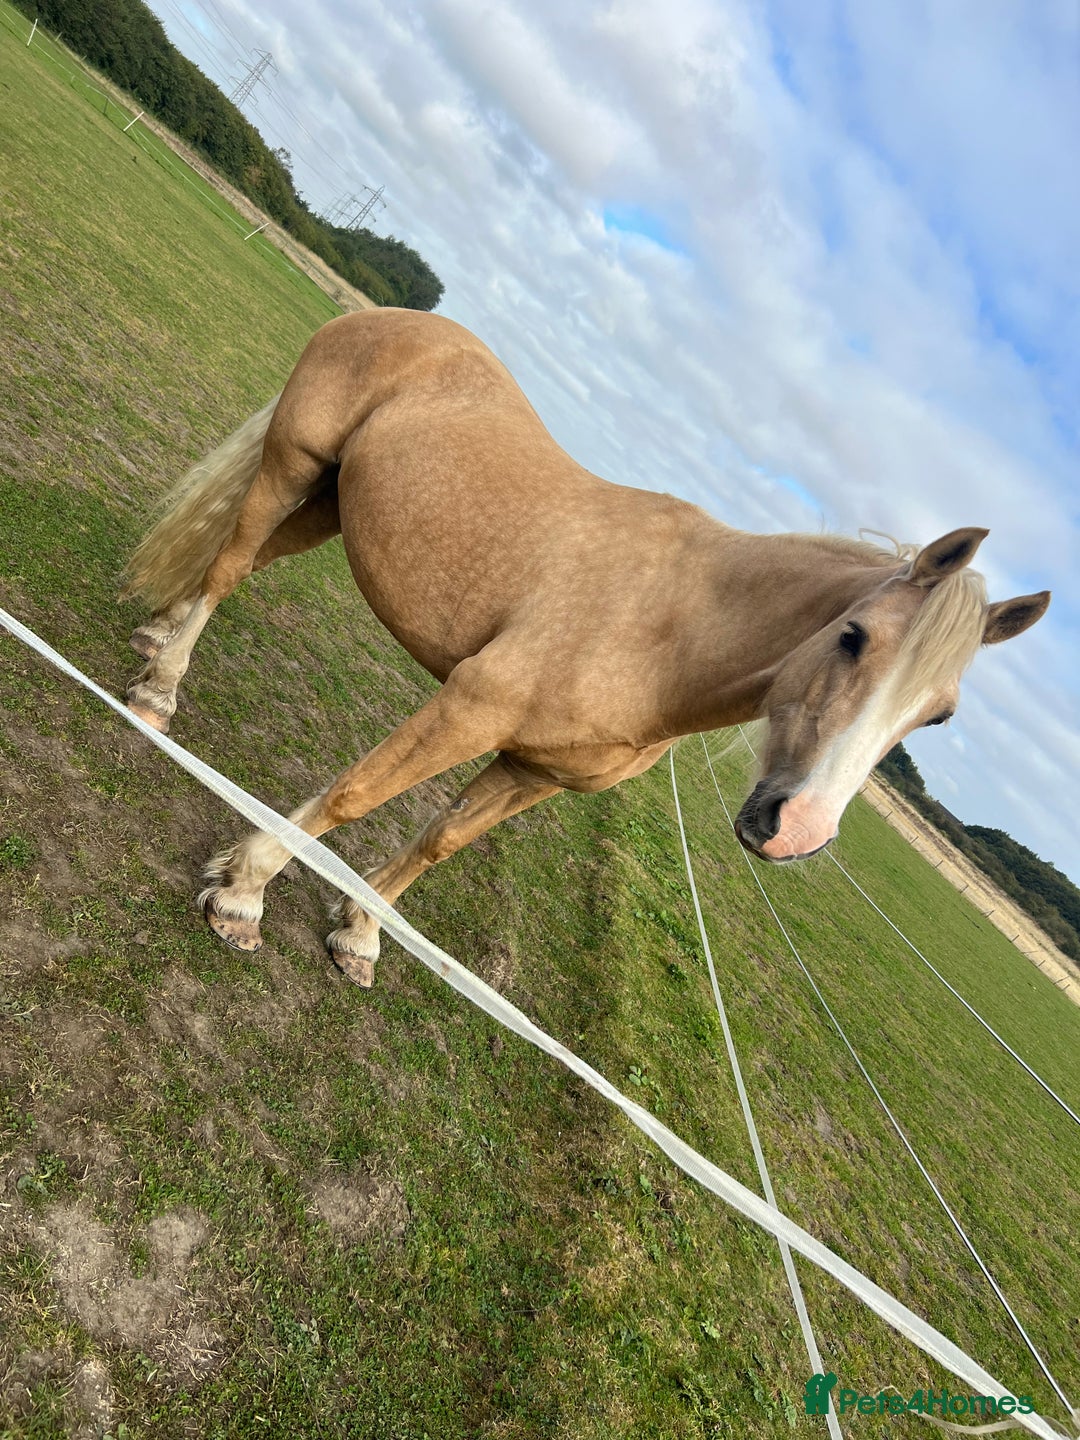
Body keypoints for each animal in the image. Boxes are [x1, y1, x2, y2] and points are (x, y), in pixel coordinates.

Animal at [122, 308, 1050, 987]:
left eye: (936, 717)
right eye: (855, 638)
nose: (796, 831)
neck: (667, 631)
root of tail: (392, 317)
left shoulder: (534, 770)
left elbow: (441, 841)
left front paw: (359, 938)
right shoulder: (467, 708)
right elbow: (354, 797)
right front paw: (243, 894)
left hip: (328, 502)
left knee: (234, 566)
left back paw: (156, 636)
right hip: (294, 464)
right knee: (229, 568)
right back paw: (161, 690)